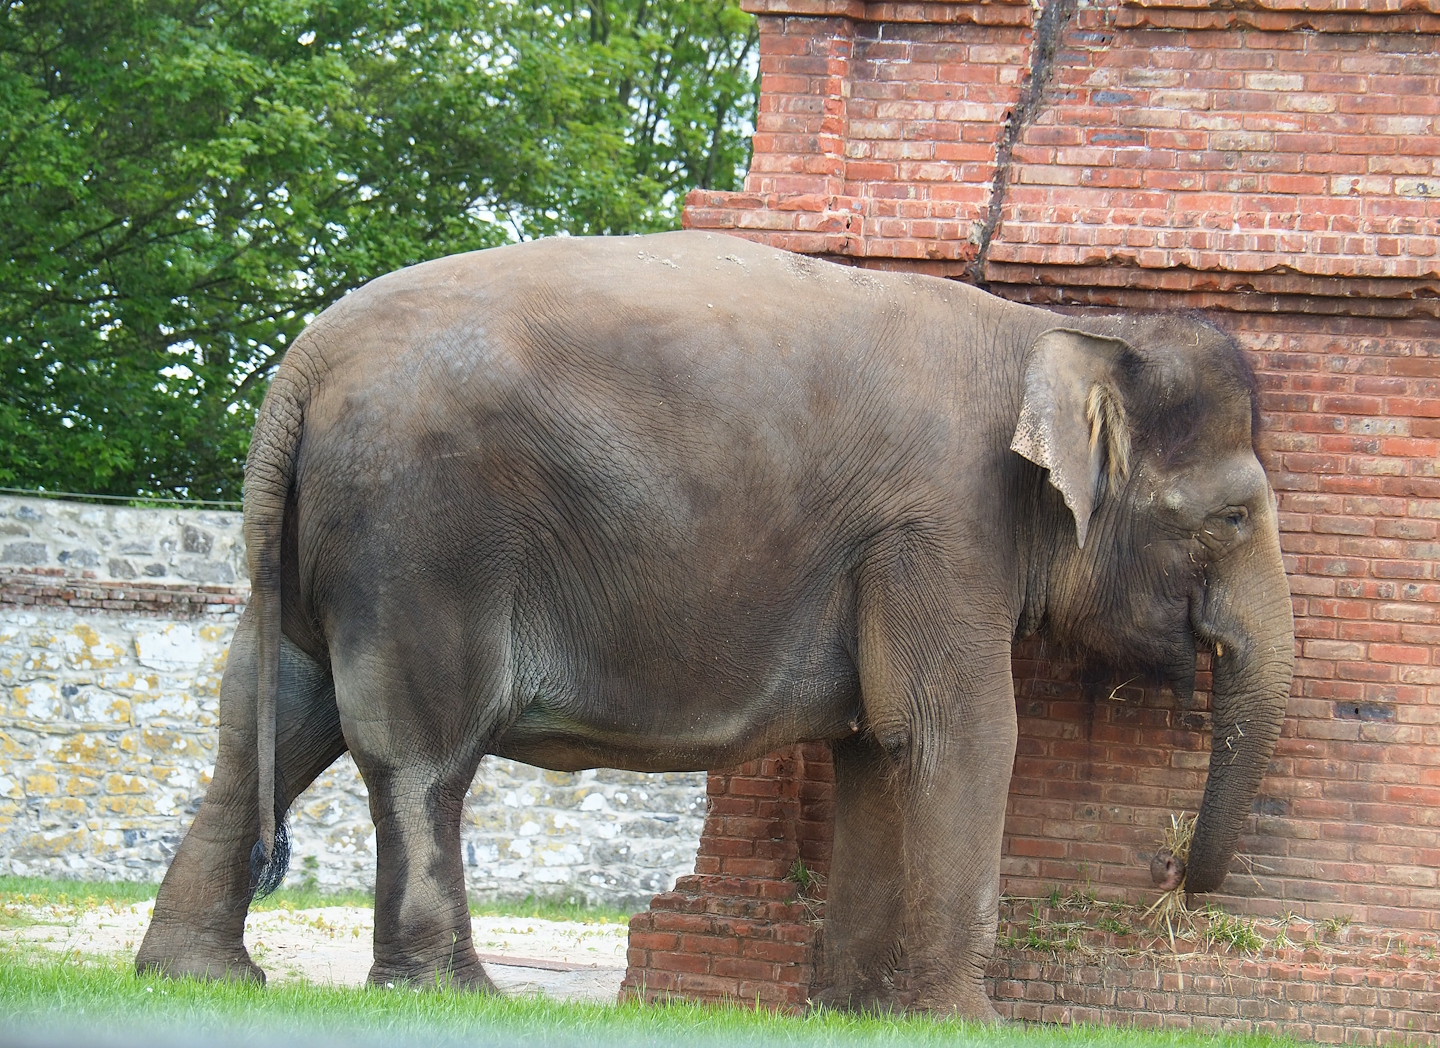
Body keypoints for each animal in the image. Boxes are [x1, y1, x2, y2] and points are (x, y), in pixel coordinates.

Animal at [136, 230, 1294, 1019]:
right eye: (1234, 516)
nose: (1173, 881)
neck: (1059, 334)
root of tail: (303, 363)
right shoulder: (944, 527)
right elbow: (957, 735)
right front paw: (964, 1023)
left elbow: (877, 747)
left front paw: (849, 1016)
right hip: (423, 531)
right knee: (415, 751)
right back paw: (455, 996)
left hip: (322, 546)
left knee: (266, 723)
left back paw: (200, 976)